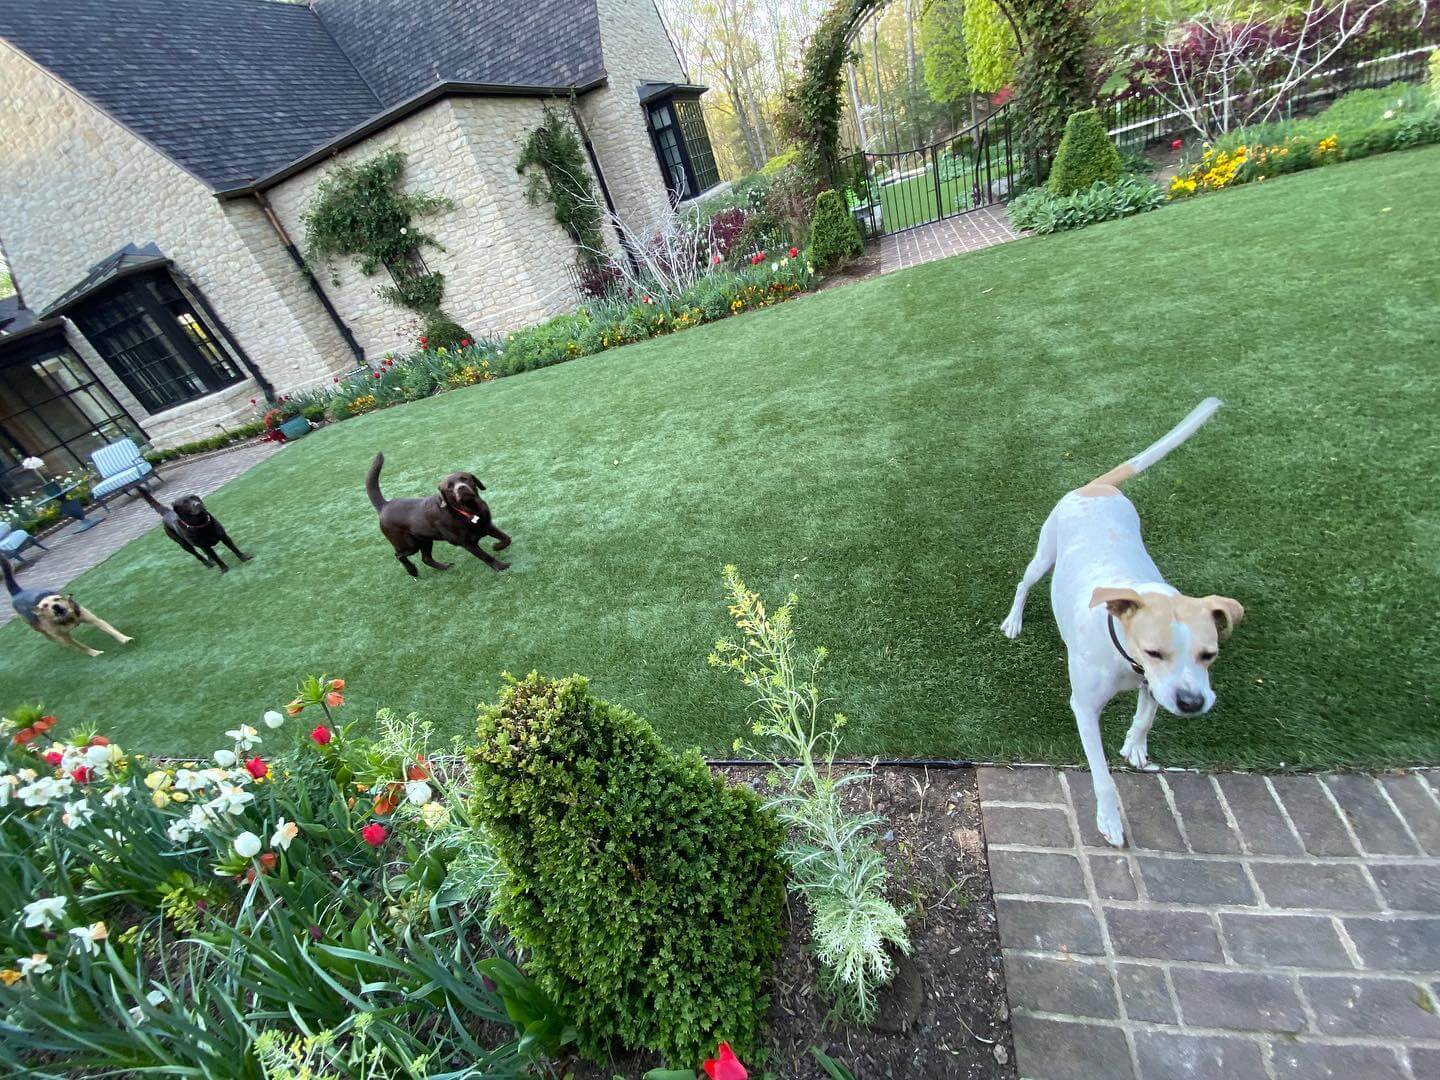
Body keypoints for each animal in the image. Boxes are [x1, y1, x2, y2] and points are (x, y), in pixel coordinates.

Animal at [365, 452, 512, 578]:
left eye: (465, 479)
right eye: (449, 487)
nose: (461, 487)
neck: (470, 511)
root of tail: (385, 504)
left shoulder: (487, 526)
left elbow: (507, 538)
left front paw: (497, 546)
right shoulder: (466, 543)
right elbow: (485, 556)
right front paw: (500, 566)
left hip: (425, 540)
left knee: (426, 558)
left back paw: (444, 567)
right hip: (410, 544)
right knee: (399, 555)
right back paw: (412, 571)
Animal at [996, 403, 1244, 852]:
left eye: (1210, 654)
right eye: (1154, 651)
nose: (1192, 703)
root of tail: (1096, 487)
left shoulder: (1154, 684)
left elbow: (1145, 716)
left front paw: (1135, 745)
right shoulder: (1085, 706)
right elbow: (1102, 775)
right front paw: (1109, 820)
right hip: (1045, 551)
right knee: (1025, 583)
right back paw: (1014, 620)